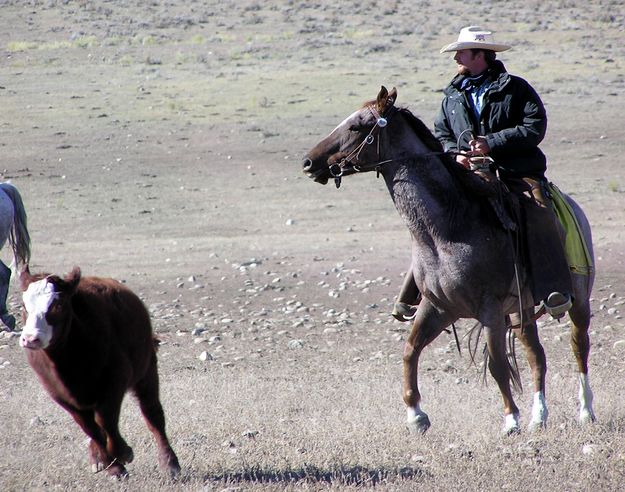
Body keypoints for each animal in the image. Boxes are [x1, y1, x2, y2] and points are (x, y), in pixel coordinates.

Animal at [20, 268, 180, 478]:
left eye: (58, 304)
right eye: (24, 305)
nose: (31, 338)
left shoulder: (114, 381)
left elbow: (105, 421)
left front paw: (122, 453)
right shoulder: (59, 395)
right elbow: (90, 428)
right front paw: (112, 466)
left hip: (147, 371)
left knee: (152, 414)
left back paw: (170, 463)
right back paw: (98, 458)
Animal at [302, 87, 596, 434]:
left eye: (357, 126)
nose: (309, 162)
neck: (445, 230)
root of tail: (574, 208)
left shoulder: (489, 310)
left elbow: (497, 365)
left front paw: (510, 419)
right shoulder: (438, 307)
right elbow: (410, 351)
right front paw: (416, 415)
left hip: (577, 301)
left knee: (579, 347)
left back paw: (585, 411)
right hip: (520, 312)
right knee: (536, 355)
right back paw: (539, 416)